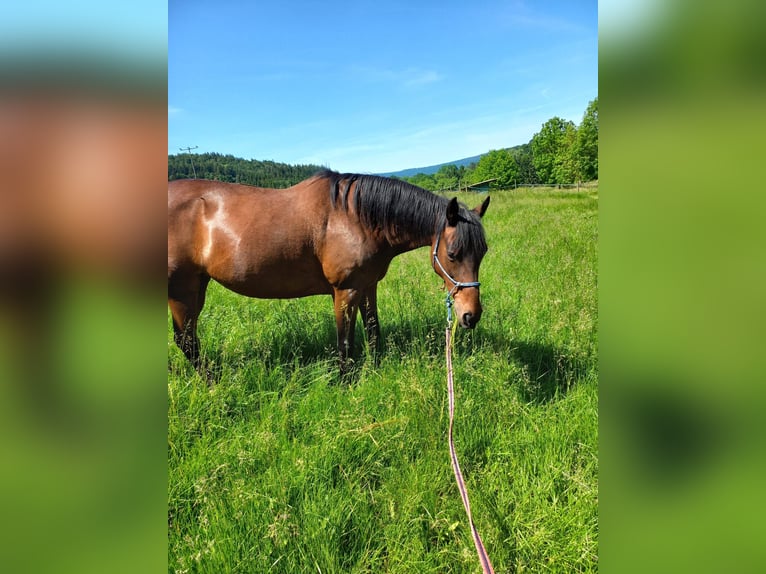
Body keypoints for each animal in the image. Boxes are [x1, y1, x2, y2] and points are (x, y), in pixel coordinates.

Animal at [168, 170, 490, 374]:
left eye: (484, 252)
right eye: (452, 254)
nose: (470, 315)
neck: (356, 217)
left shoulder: (367, 286)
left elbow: (373, 330)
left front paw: (375, 368)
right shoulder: (345, 291)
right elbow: (345, 342)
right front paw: (346, 382)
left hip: (198, 286)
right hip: (182, 290)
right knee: (187, 341)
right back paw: (213, 383)